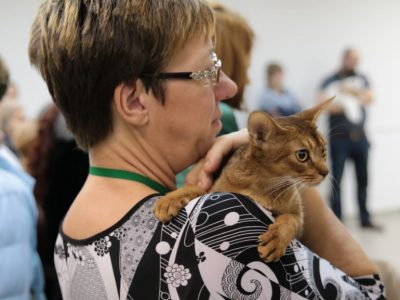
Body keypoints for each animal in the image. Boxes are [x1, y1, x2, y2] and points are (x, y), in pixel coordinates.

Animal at [153, 99, 332, 262]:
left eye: (323, 151)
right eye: (302, 155)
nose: (326, 172)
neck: (267, 185)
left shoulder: (298, 216)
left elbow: (290, 221)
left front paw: (276, 240)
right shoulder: (214, 190)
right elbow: (196, 188)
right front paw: (169, 200)